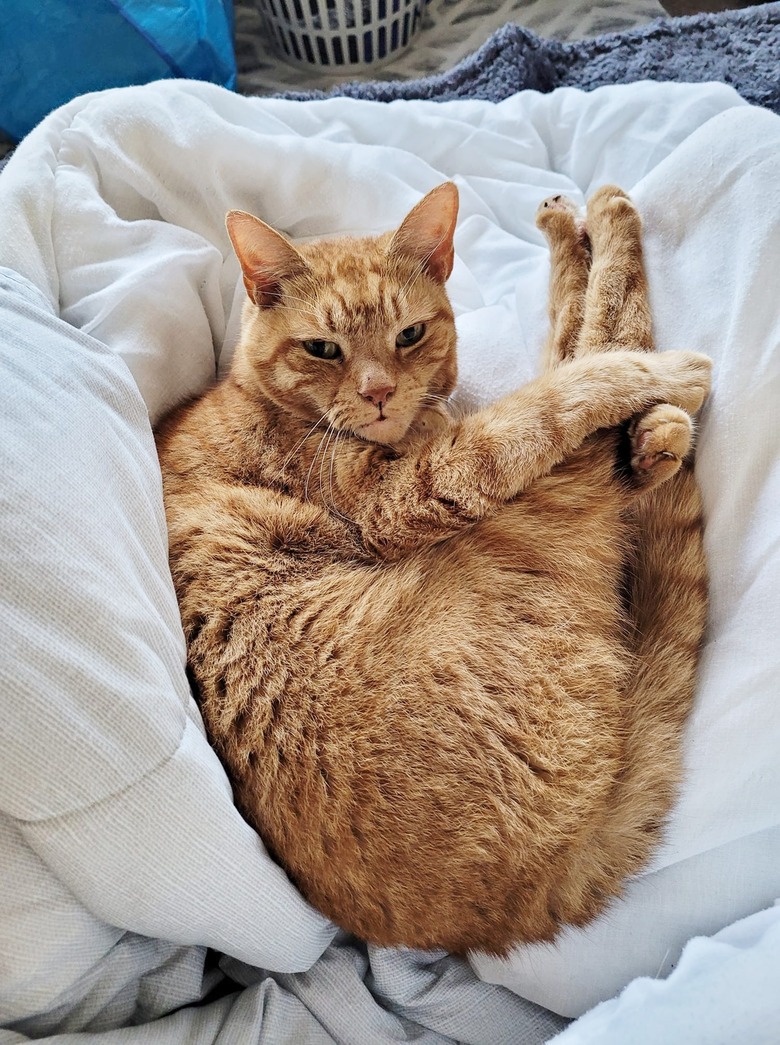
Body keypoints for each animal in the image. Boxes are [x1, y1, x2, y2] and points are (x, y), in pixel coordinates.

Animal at [154, 181, 706, 957]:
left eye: (409, 335)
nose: (380, 392)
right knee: (594, 354)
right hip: (537, 512)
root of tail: (512, 906)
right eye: (322, 349)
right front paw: (657, 373)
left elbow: (564, 356)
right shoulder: (418, 490)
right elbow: (566, 384)